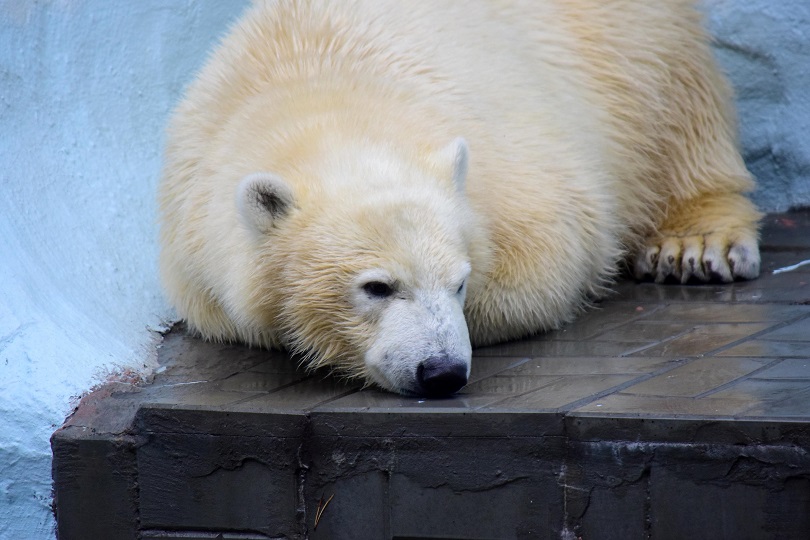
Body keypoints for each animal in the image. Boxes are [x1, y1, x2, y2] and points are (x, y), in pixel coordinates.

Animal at [158, 0, 756, 396]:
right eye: (377, 287)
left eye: (460, 282)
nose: (441, 372)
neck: (322, 87)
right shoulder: (194, 225)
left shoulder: (514, 164)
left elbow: (546, 261)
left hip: (632, 56)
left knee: (682, 118)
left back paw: (697, 245)